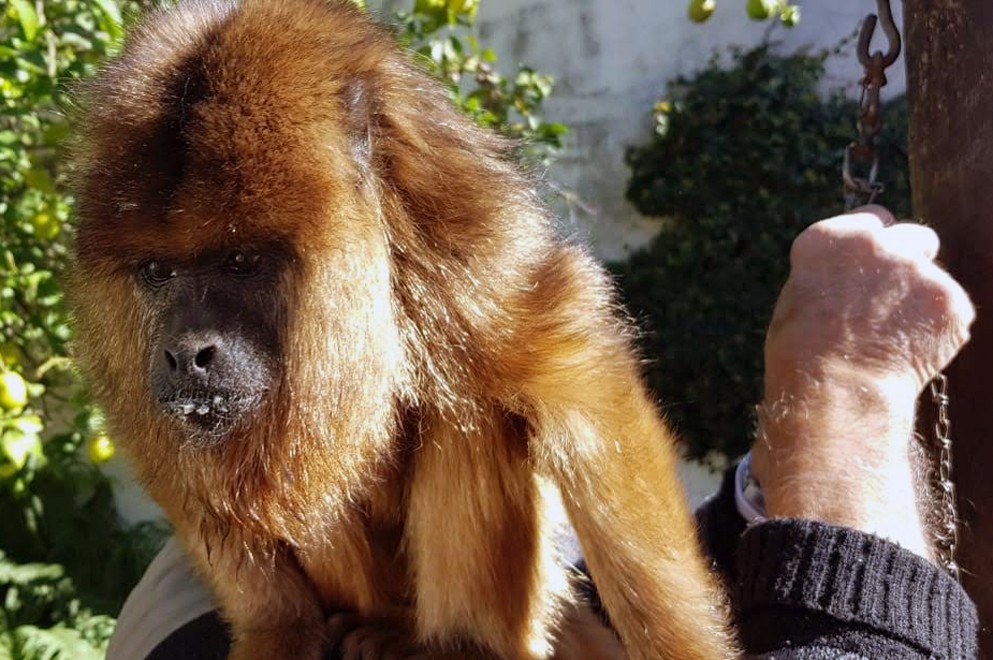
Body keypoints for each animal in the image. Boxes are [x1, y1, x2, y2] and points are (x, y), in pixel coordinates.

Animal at [68, 0, 734, 658]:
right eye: (157, 271)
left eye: (241, 261)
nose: (186, 354)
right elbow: (164, 451)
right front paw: (277, 627)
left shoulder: (449, 212)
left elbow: (569, 359)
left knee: (467, 409)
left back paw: (452, 643)